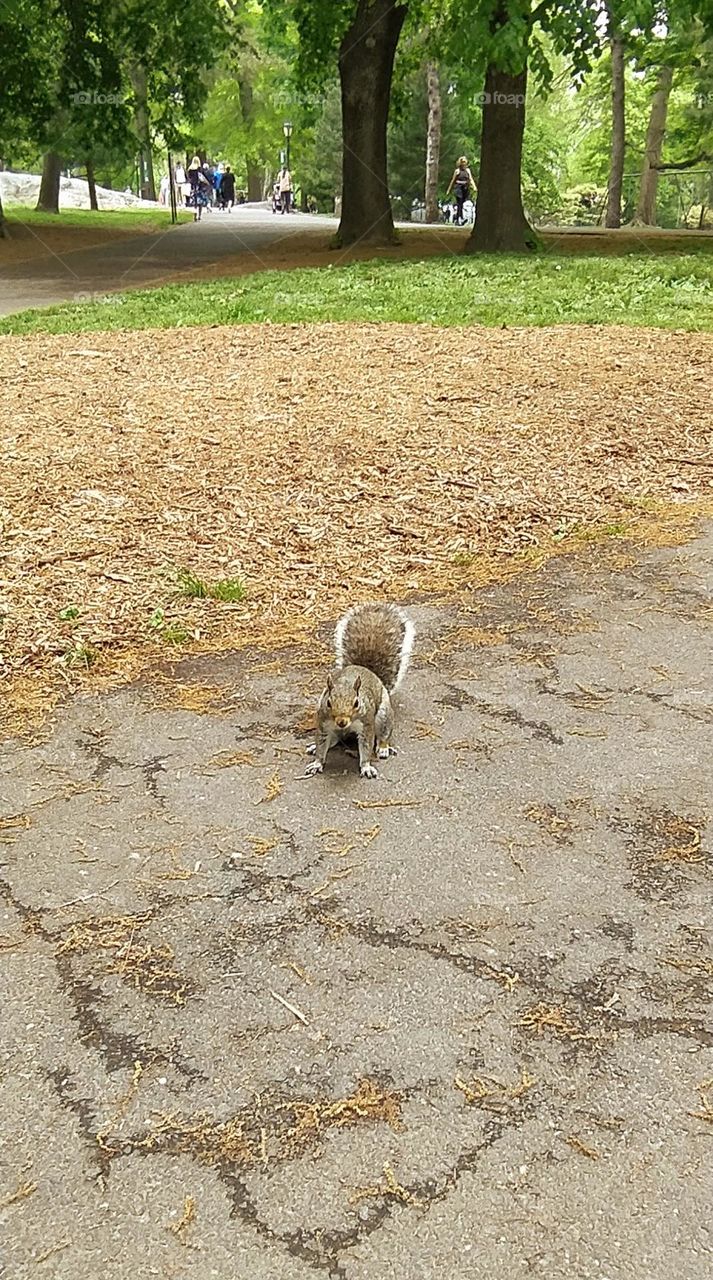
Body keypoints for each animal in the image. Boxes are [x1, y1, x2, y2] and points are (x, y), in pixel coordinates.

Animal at [303, 601, 414, 778]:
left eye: (356, 703)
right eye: (328, 702)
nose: (341, 721)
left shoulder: (366, 725)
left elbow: (366, 746)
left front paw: (366, 766)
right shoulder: (323, 723)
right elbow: (322, 745)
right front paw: (317, 762)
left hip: (383, 715)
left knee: (384, 733)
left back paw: (383, 748)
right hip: (335, 731)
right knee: (334, 740)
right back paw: (314, 746)